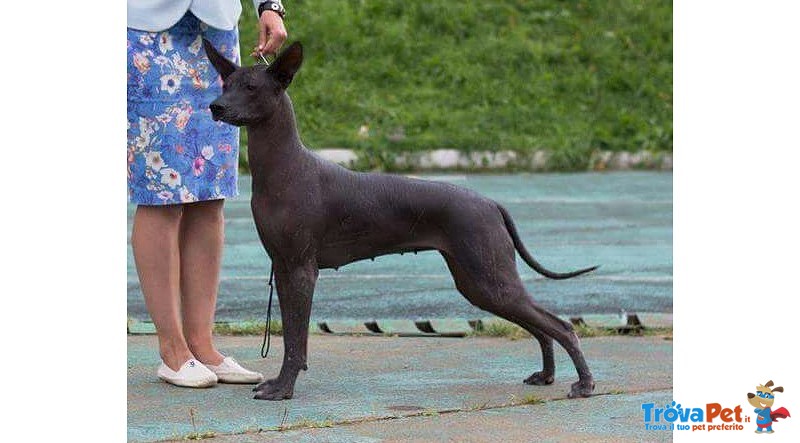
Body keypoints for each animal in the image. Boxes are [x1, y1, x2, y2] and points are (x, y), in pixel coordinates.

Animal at [203, 40, 596, 402]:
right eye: (226, 82)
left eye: (251, 87)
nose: (215, 106)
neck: (283, 168)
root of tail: (491, 203)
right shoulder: (284, 268)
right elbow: (291, 335)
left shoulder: (300, 270)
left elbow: (295, 340)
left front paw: (284, 388)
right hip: (477, 283)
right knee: (540, 324)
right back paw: (546, 375)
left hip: (490, 279)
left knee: (560, 324)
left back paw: (585, 384)